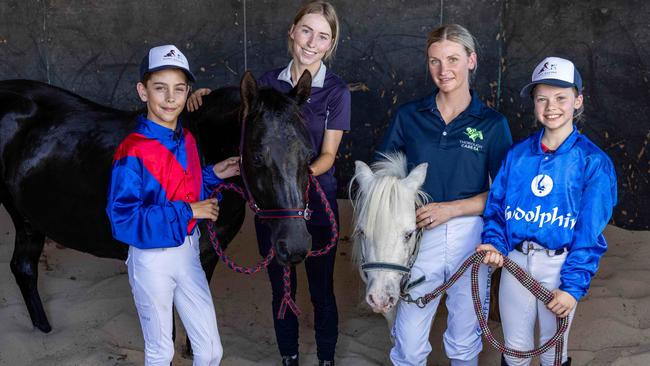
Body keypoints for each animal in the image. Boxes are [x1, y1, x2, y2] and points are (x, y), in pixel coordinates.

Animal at [0, 71, 314, 334]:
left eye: (309, 154)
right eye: (257, 157)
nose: (296, 246)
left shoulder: (208, 254)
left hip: (28, 219)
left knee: (23, 267)